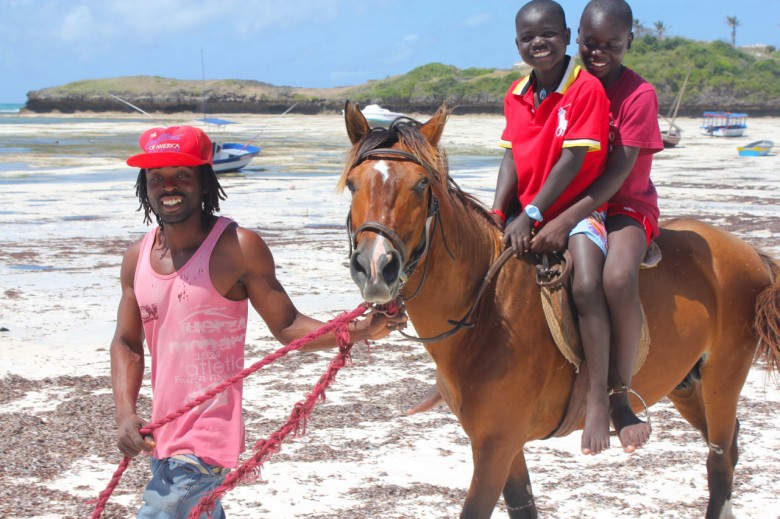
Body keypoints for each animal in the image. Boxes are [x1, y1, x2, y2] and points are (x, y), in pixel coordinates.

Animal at [340, 99, 780, 516]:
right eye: (352, 186)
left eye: (420, 185)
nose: (376, 266)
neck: (485, 313)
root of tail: (751, 253)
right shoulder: (504, 445)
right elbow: (523, 506)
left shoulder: (496, 445)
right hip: (687, 385)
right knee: (729, 446)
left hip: (724, 378)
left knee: (719, 461)